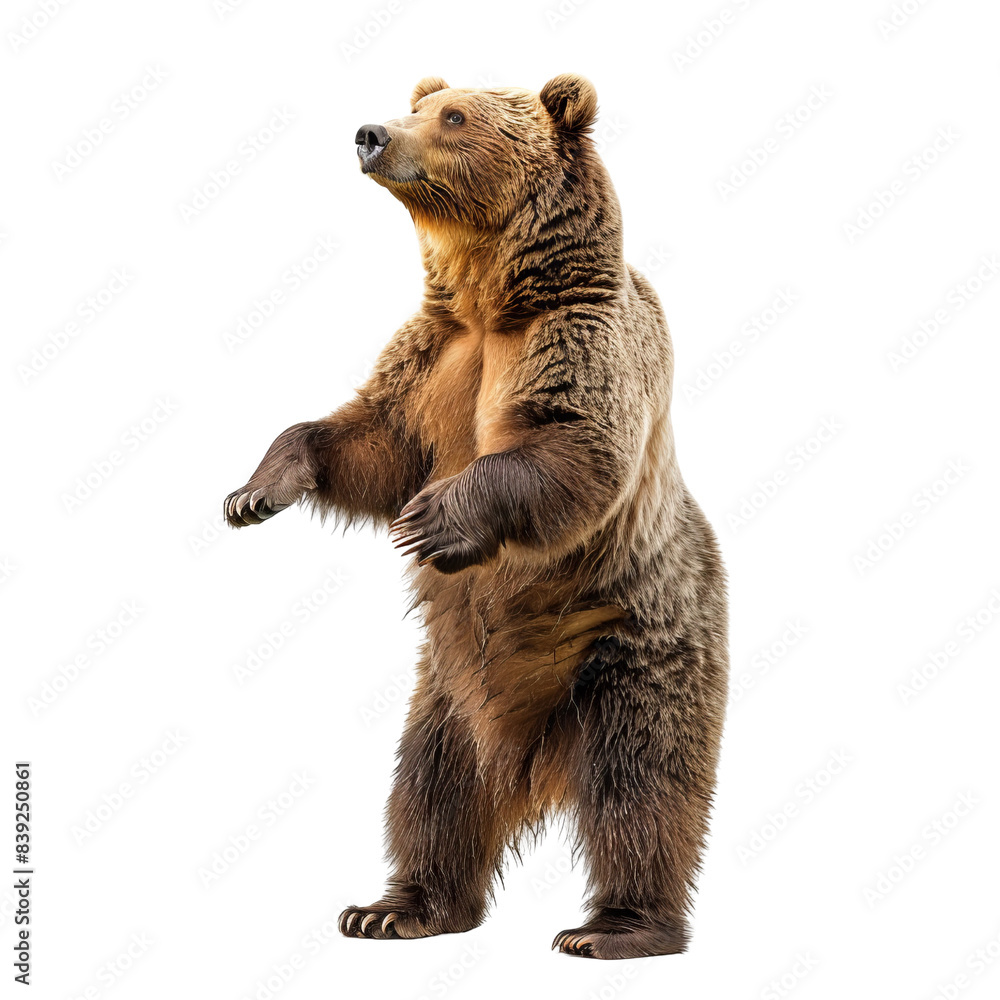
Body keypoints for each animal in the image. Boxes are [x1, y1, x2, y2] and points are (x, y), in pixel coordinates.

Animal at [224, 74, 728, 960]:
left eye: (456, 117)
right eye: (420, 105)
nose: (371, 133)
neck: (493, 297)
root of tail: (532, 760)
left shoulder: (577, 340)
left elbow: (571, 445)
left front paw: (433, 520)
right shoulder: (431, 360)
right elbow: (368, 441)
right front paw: (255, 491)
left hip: (634, 643)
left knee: (642, 783)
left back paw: (618, 927)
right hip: (448, 694)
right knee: (432, 791)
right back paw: (396, 907)